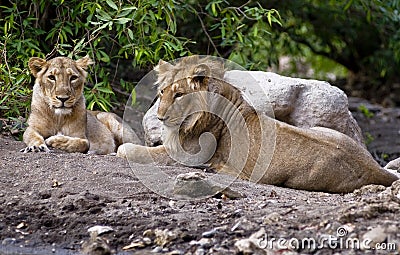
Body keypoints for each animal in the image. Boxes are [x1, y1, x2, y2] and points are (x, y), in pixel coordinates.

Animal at [117, 54, 398, 192]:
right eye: (162, 92)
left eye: (179, 95)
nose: (161, 116)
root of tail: (375, 168)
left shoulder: (186, 153)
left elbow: (142, 152)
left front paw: (125, 150)